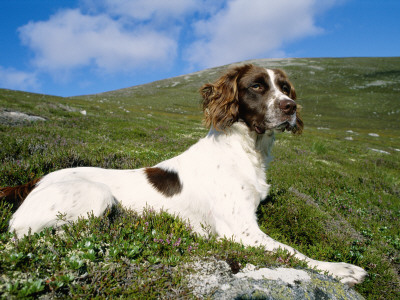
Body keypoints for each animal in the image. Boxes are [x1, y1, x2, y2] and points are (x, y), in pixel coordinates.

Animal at [1, 65, 368, 286]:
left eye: (285, 87)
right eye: (257, 86)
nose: (290, 107)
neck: (245, 150)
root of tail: (34, 180)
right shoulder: (240, 230)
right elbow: (292, 251)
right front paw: (341, 269)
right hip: (96, 195)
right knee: (31, 237)